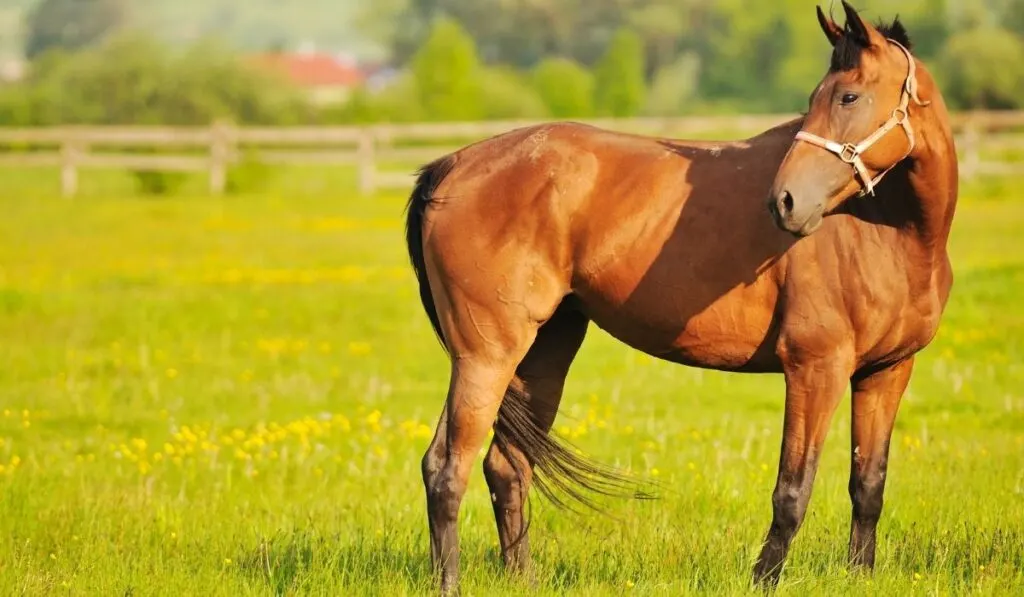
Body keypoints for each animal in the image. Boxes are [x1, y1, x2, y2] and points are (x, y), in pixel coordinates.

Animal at [403, 2, 957, 592]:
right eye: (817, 97)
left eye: (848, 96)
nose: (784, 202)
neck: (888, 230)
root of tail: (451, 167)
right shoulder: (815, 368)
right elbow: (793, 490)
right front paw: (763, 579)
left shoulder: (887, 371)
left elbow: (868, 483)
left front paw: (859, 574)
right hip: (485, 356)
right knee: (446, 468)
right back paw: (449, 582)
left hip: (544, 350)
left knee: (506, 467)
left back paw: (522, 578)